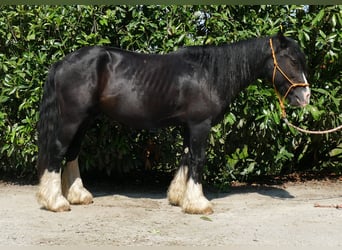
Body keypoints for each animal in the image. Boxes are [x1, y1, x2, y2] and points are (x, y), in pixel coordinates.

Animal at [36, 32, 310, 214]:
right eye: (292, 60)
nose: (305, 97)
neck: (210, 74)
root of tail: (62, 63)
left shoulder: (189, 126)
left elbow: (187, 158)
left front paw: (179, 197)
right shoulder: (200, 125)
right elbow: (198, 160)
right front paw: (199, 204)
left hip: (84, 120)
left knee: (72, 153)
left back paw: (78, 196)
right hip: (72, 119)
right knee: (57, 152)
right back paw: (55, 202)